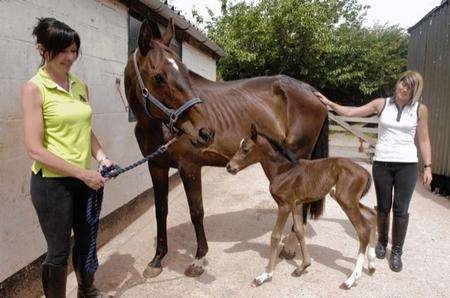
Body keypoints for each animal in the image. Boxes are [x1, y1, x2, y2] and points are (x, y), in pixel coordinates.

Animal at [125, 19, 328, 278]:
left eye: (186, 72)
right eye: (159, 76)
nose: (206, 132)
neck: (157, 125)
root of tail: (311, 91)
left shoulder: (189, 167)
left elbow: (196, 212)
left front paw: (199, 259)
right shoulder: (156, 166)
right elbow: (161, 211)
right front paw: (157, 260)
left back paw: (291, 247)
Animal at [225, 125, 376, 288]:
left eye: (245, 148)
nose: (229, 167)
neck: (283, 170)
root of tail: (366, 172)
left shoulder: (284, 205)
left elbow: (275, 236)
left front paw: (265, 275)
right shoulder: (296, 204)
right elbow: (299, 230)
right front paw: (303, 266)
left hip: (347, 201)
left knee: (363, 230)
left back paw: (352, 279)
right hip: (348, 200)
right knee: (372, 215)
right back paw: (372, 265)